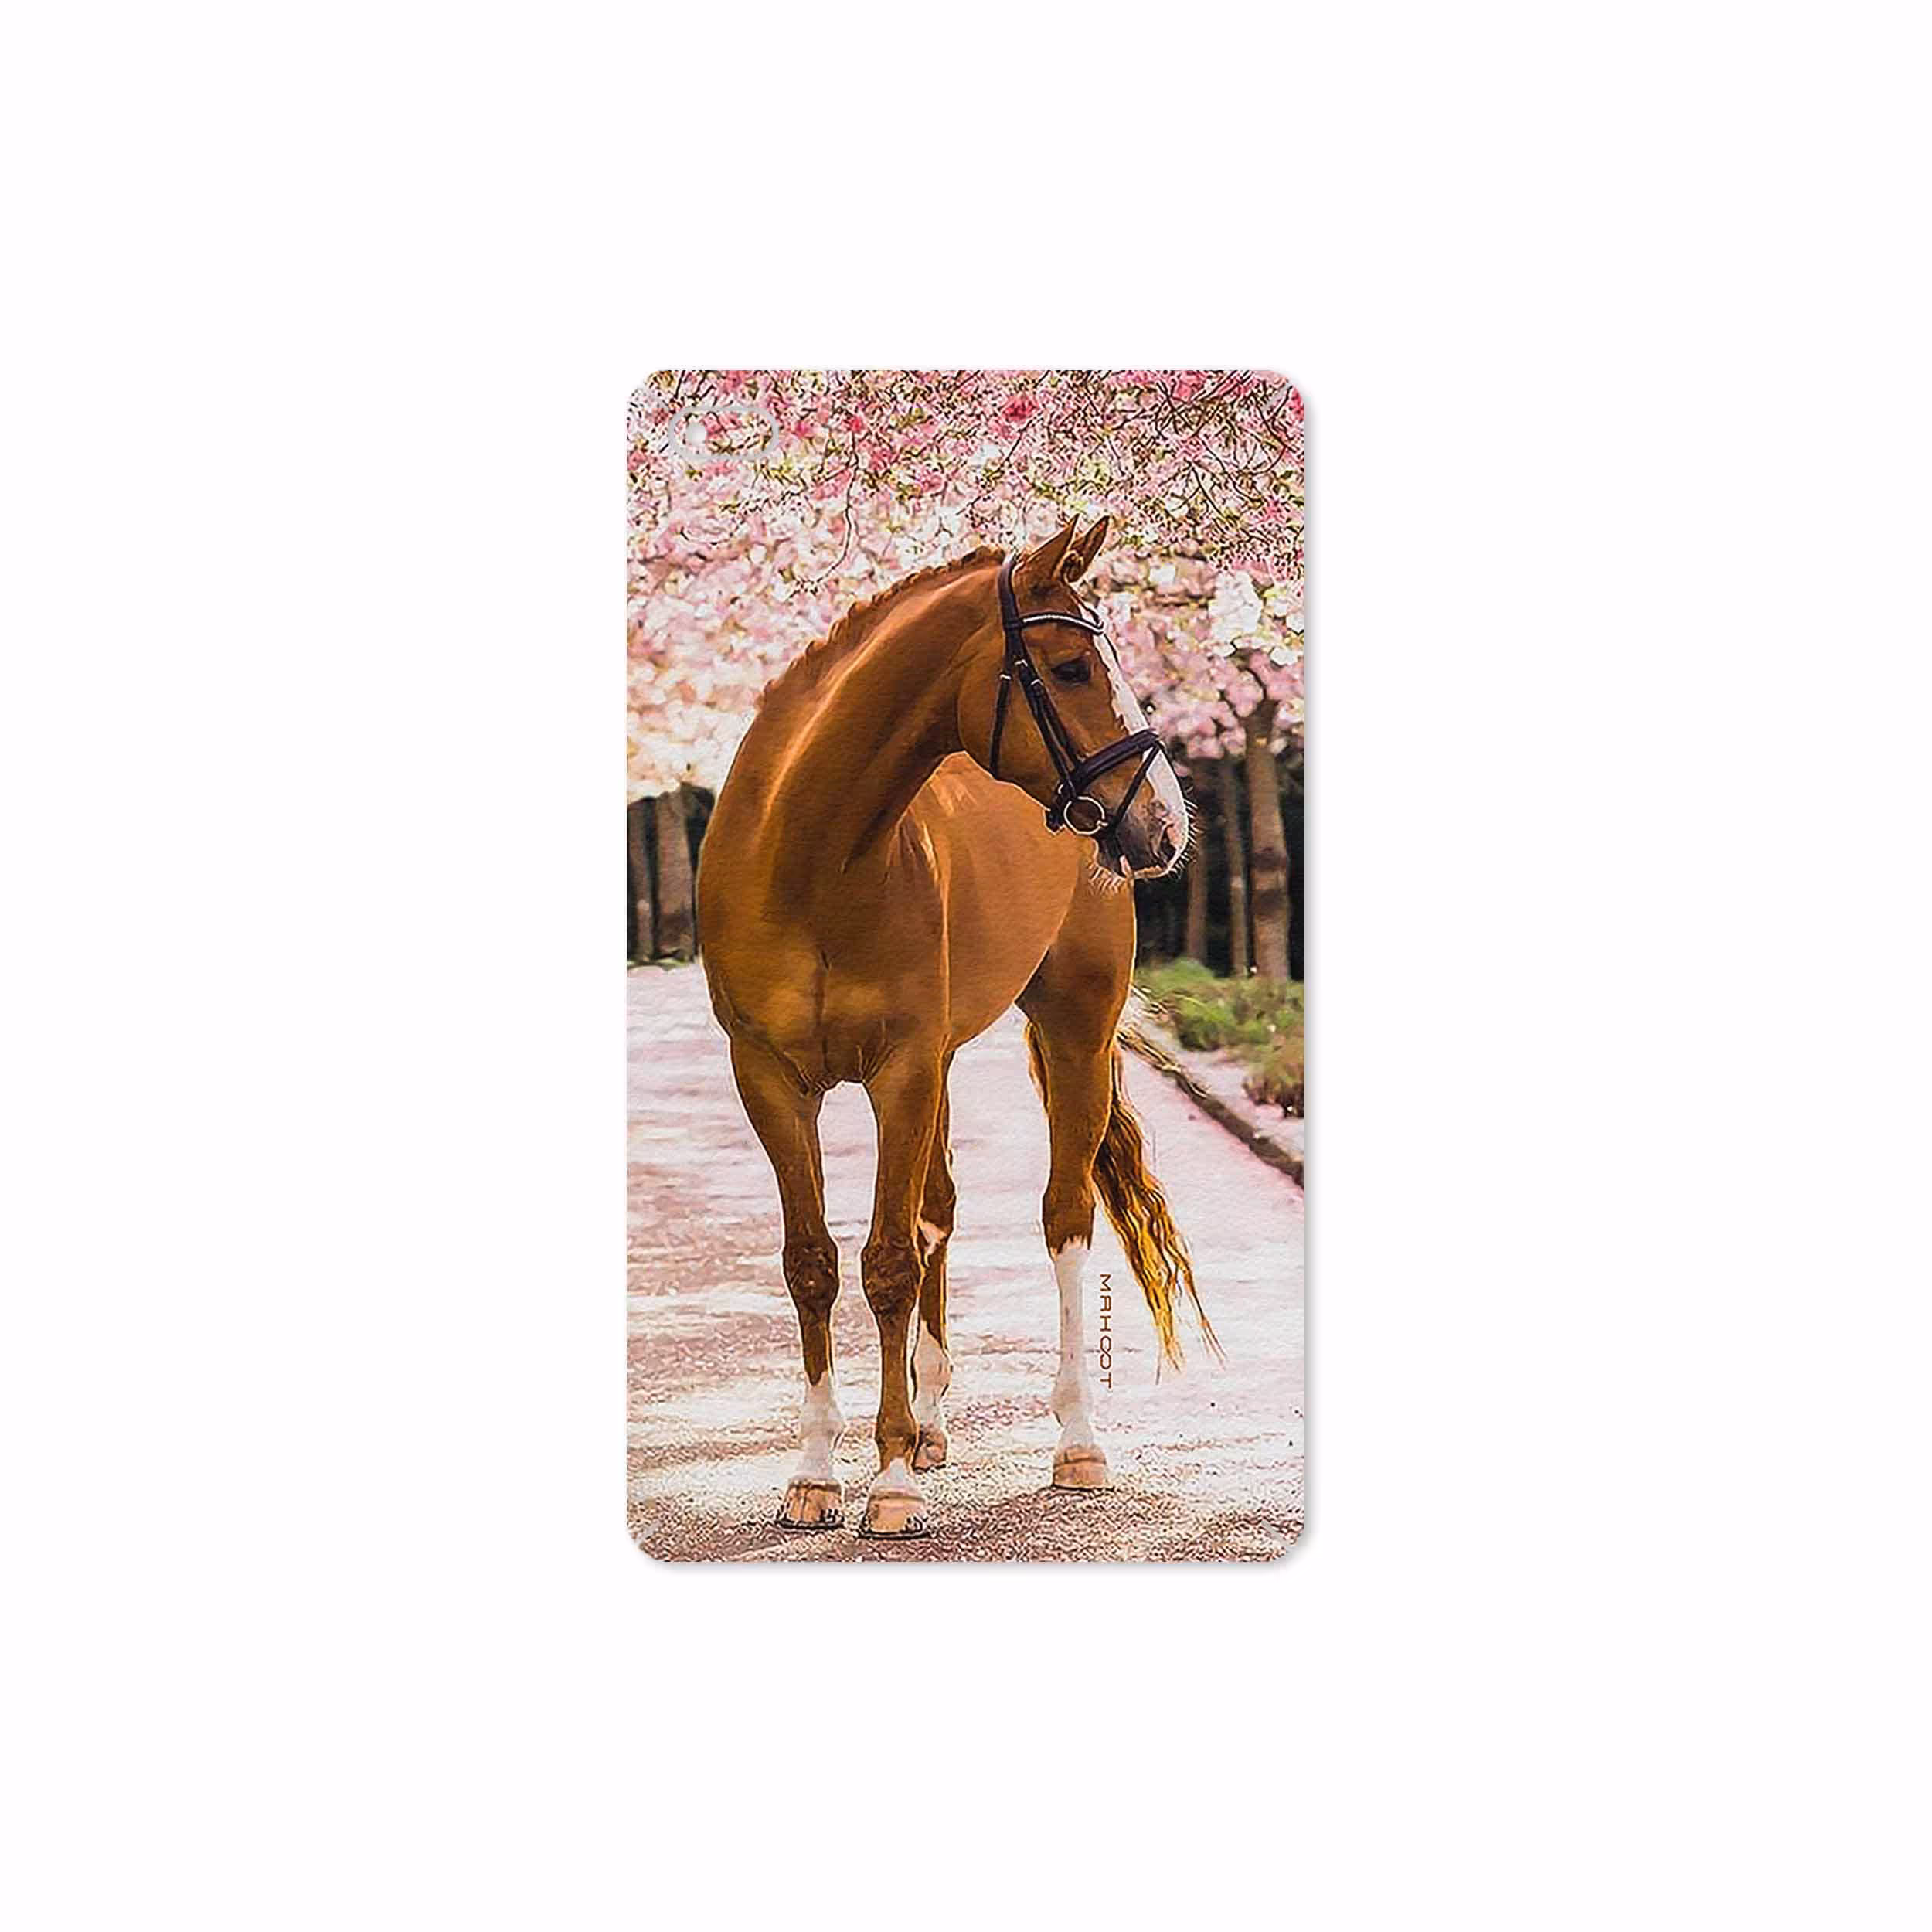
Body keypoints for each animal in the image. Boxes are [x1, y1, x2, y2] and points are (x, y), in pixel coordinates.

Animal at [696, 515, 1216, 1538]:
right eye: (1069, 667)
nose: (1166, 826)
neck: (809, 856)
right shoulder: (770, 1078)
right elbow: (813, 1262)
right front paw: (817, 1473)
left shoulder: (899, 1070)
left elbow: (889, 1261)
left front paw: (890, 1481)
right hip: (938, 1064)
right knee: (937, 1209)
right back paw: (931, 1424)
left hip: (1072, 1031)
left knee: (1063, 1217)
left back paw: (1073, 1442)